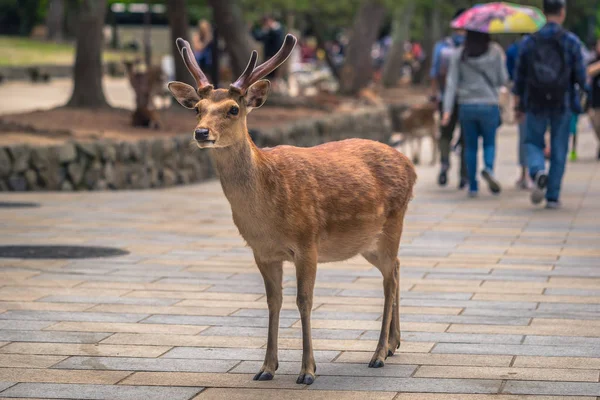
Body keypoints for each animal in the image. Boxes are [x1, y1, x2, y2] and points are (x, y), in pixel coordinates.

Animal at [166, 33, 414, 384]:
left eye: (233, 109)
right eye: (197, 109)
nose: (201, 133)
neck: (267, 216)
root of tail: (410, 165)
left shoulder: (307, 243)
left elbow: (304, 301)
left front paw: (308, 371)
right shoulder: (262, 251)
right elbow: (274, 302)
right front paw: (266, 368)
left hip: (393, 223)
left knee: (389, 280)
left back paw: (378, 354)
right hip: (368, 242)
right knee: (397, 268)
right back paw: (393, 344)